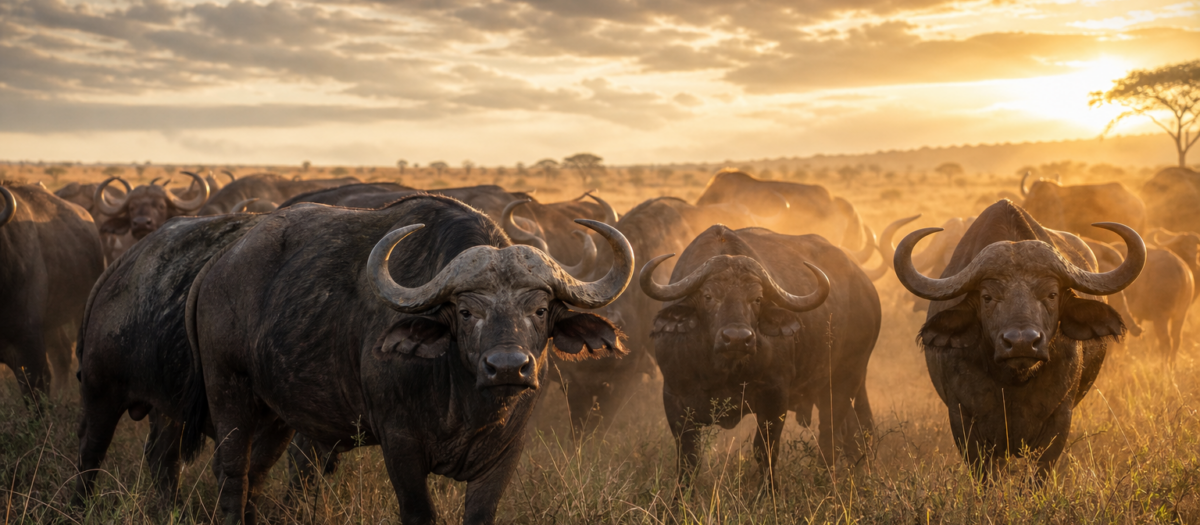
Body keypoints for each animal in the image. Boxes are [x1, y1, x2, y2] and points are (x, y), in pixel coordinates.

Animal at [187, 195, 633, 524]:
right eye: (466, 311)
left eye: (540, 310)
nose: (507, 366)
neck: (466, 403)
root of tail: (217, 266)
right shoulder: (399, 444)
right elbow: (420, 513)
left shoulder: (507, 450)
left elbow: (481, 514)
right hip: (227, 389)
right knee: (233, 473)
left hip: (279, 411)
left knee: (258, 473)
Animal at [642, 224, 880, 484]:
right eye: (708, 296)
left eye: (756, 298)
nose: (737, 338)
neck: (722, 369)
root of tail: (866, 288)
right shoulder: (674, 398)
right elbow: (688, 458)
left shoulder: (775, 396)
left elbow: (765, 450)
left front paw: (770, 490)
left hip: (845, 381)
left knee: (832, 433)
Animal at [894, 199, 1144, 475]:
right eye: (987, 297)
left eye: (1052, 294)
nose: (1022, 343)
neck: (1013, 381)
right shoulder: (962, 420)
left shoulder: (1059, 419)